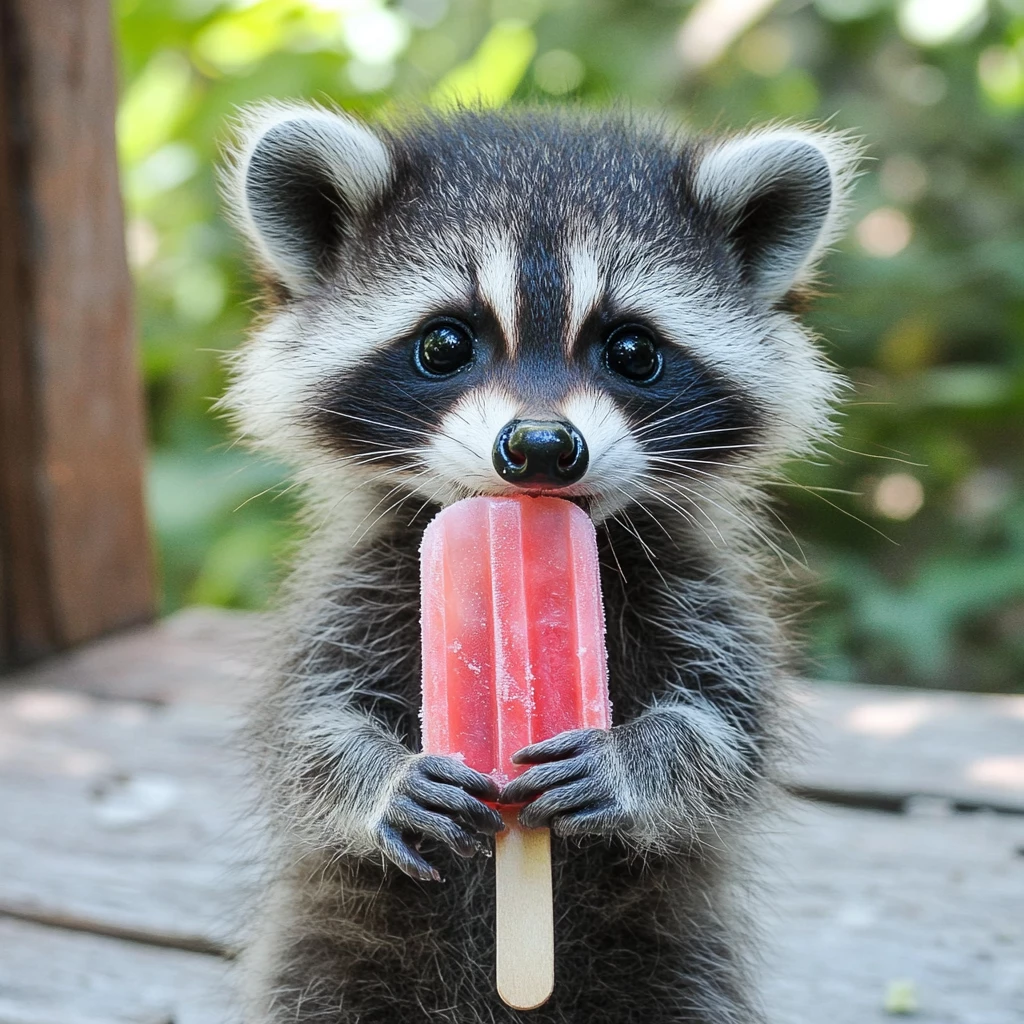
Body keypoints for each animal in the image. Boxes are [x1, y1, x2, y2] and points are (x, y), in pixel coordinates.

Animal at [222, 103, 856, 1024]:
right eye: (445, 344)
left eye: (631, 351)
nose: (543, 447)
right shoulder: (356, 587)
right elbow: (304, 727)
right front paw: (380, 778)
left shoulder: (701, 592)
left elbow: (729, 731)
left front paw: (639, 759)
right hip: (335, 948)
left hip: (671, 956)